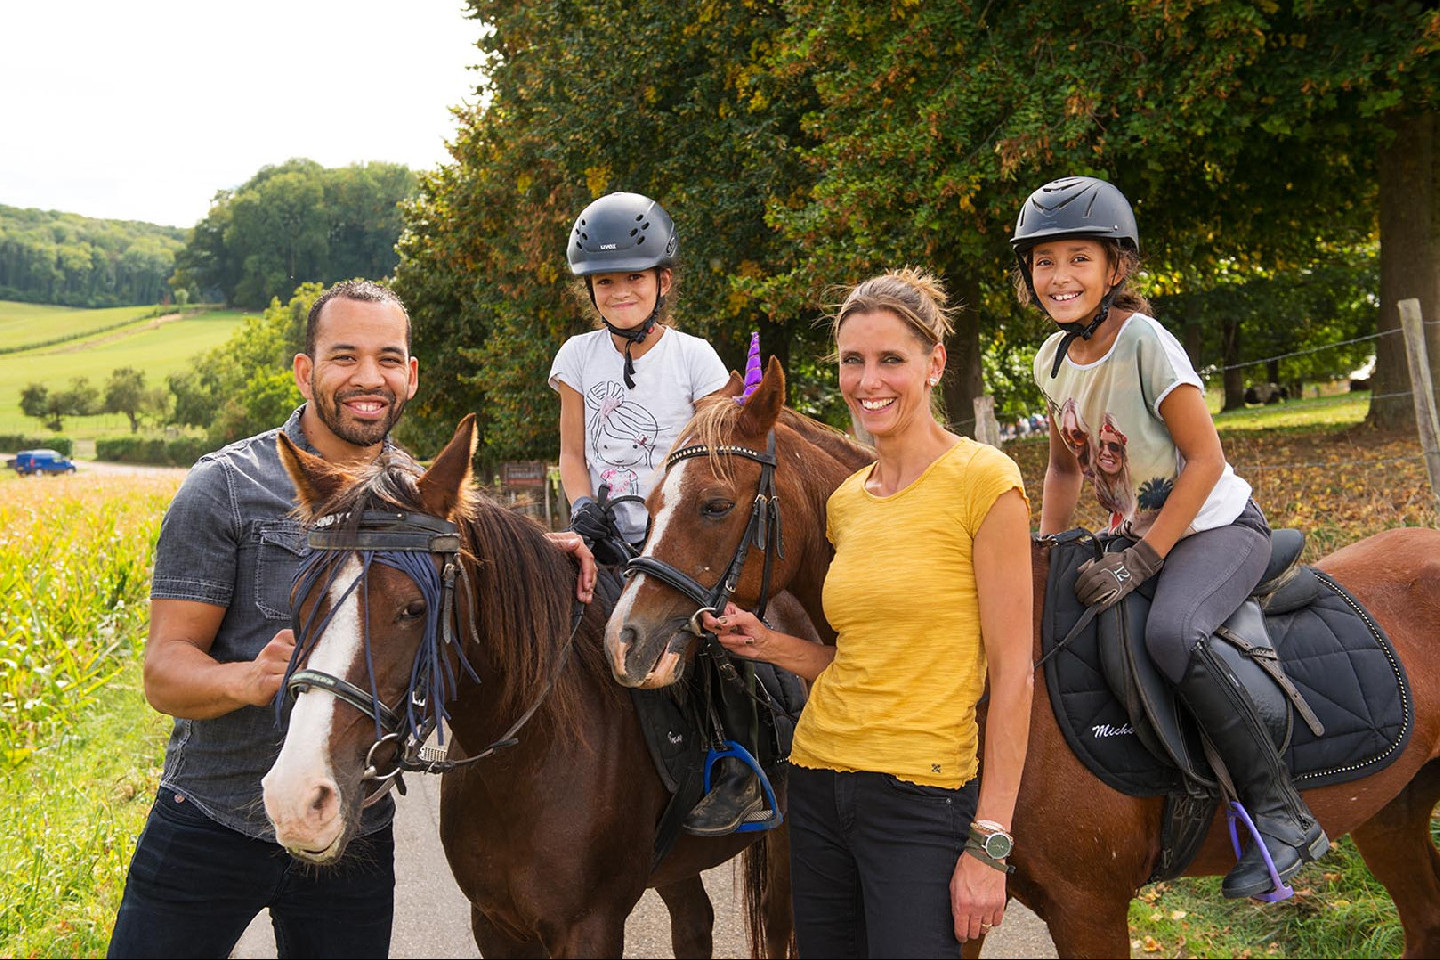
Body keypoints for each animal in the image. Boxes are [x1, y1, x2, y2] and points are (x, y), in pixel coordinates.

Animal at [262, 417, 800, 960]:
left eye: (413, 608)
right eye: (299, 598)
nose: (298, 800)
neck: (529, 755)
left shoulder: (591, 928)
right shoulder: (494, 923)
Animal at [610, 358, 1440, 960]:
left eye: (716, 504)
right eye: (646, 505)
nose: (626, 639)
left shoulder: (1089, 910)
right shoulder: (960, 898)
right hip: (1393, 814)